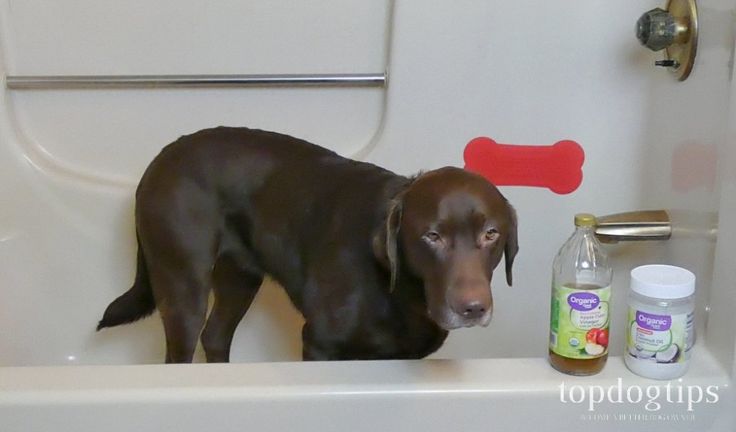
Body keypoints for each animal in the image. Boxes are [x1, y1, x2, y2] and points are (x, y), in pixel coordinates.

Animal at [98, 126, 516, 362]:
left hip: (239, 276)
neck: (401, 292)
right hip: (183, 280)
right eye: (432, 235)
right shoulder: (320, 345)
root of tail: (160, 158)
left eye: (491, 234)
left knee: (215, 335)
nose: (472, 308)